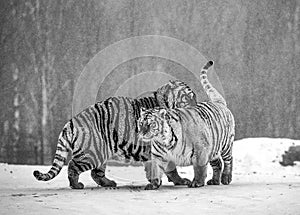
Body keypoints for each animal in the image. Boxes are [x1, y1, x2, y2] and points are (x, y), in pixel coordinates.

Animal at [34, 80, 196, 190]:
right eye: (187, 97)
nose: (196, 106)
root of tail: (71, 121)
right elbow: (170, 168)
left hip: (101, 152)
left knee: (96, 173)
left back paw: (109, 183)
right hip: (92, 154)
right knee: (73, 166)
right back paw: (76, 185)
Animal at [137, 60, 236, 188]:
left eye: (151, 124)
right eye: (141, 123)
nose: (142, 133)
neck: (164, 140)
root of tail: (218, 102)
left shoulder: (200, 150)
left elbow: (199, 168)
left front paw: (197, 182)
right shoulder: (158, 156)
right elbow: (156, 169)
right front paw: (153, 184)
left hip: (225, 144)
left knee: (229, 160)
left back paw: (226, 178)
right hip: (213, 147)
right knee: (218, 162)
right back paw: (214, 180)